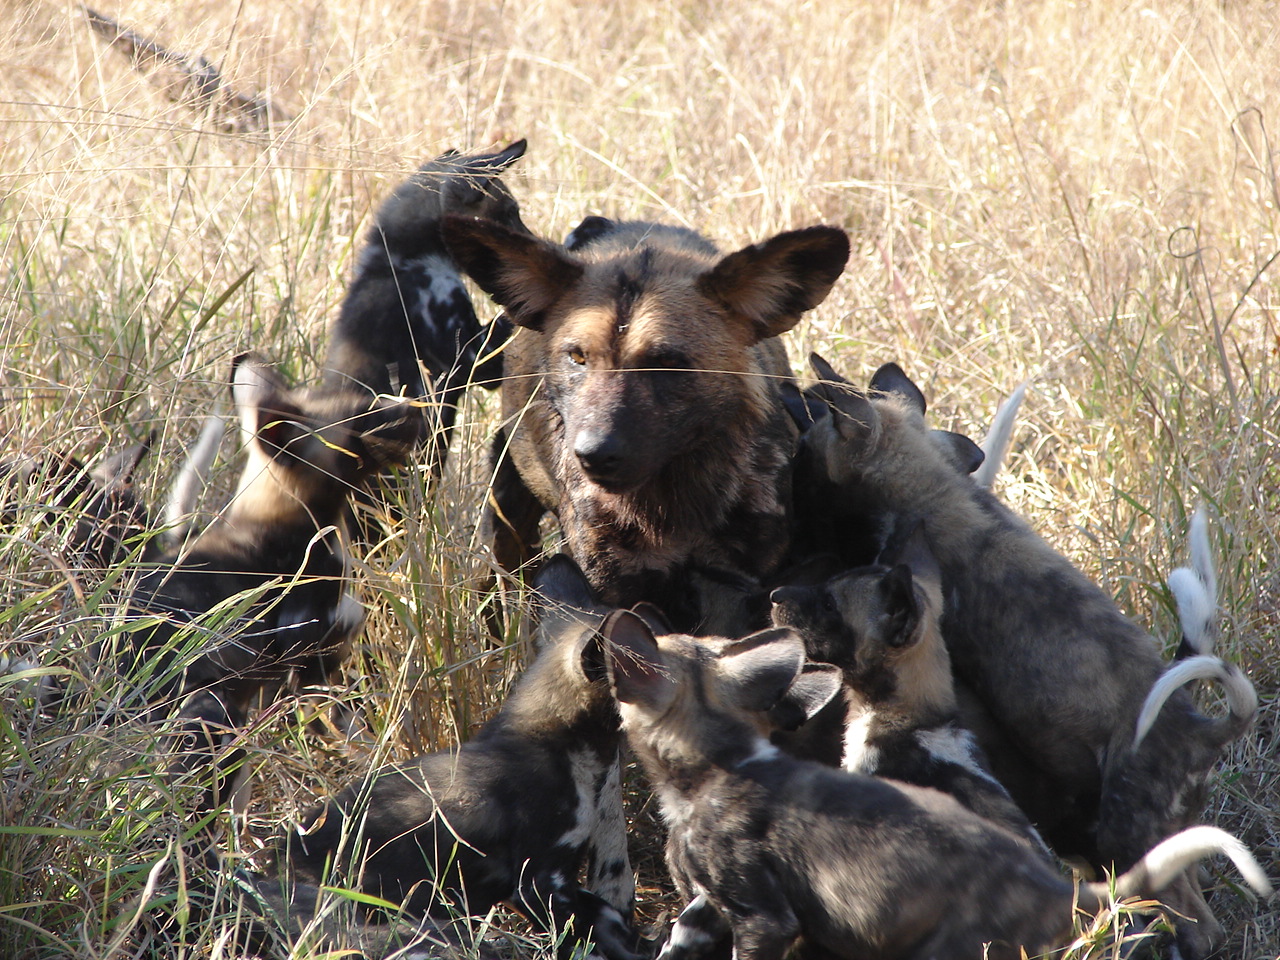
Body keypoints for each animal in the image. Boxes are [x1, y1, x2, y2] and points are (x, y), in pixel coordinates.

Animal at [445, 216, 855, 640]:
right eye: (577, 357)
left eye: (666, 362)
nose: (593, 453)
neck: (674, 504)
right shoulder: (613, 588)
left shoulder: (741, 585)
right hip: (506, 528)